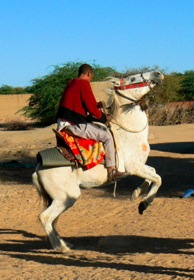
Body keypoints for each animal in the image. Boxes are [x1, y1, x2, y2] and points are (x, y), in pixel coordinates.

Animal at [33, 70, 164, 252]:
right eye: (132, 78)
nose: (157, 74)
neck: (129, 132)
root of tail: (38, 168)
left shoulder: (139, 167)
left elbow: (153, 172)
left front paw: (136, 194)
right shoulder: (135, 167)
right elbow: (158, 178)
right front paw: (143, 204)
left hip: (58, 199)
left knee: (53, 220)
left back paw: (65, 243)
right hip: (66, 196)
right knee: (45, 217)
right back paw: (61, 248)